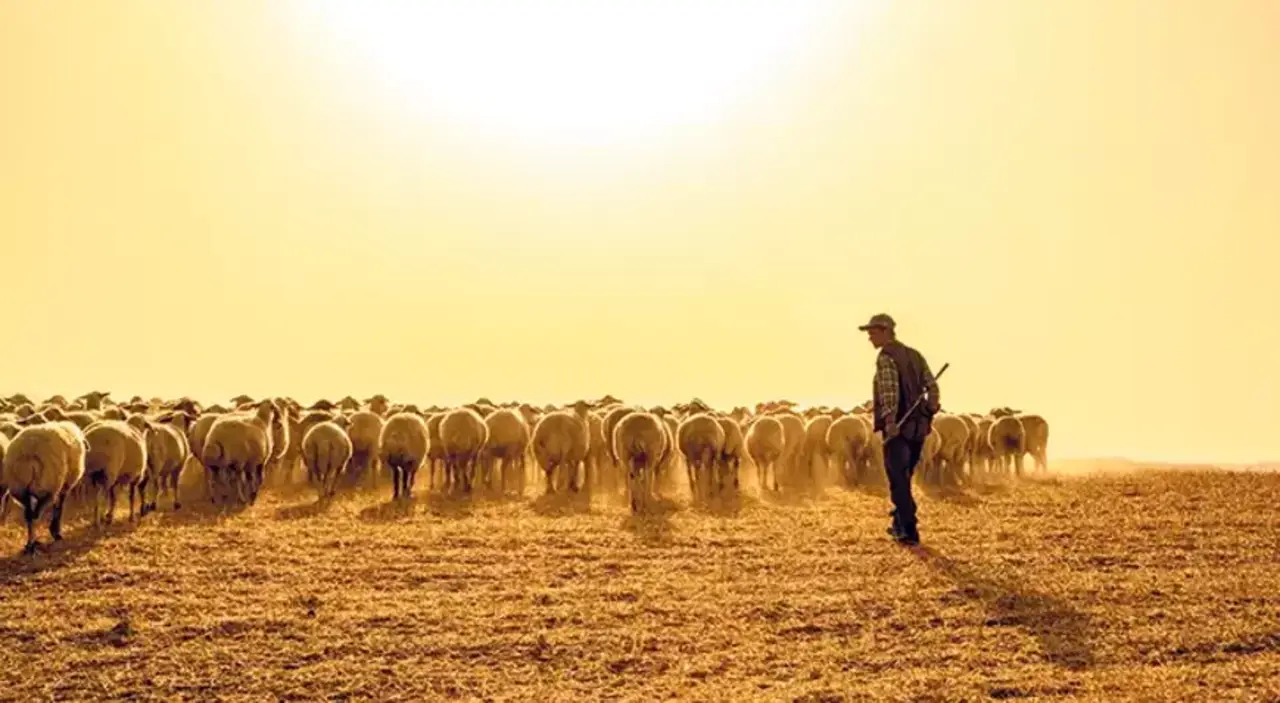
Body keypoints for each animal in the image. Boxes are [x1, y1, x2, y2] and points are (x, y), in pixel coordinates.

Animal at [1, 422, 87, 553]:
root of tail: (28, 454)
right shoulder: (64, 486)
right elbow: (59, 507)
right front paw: (56, 532)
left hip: (20, 489)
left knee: (29, 515)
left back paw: (30, 545)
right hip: (46, 487)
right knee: (35, 515)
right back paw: (34, 543)